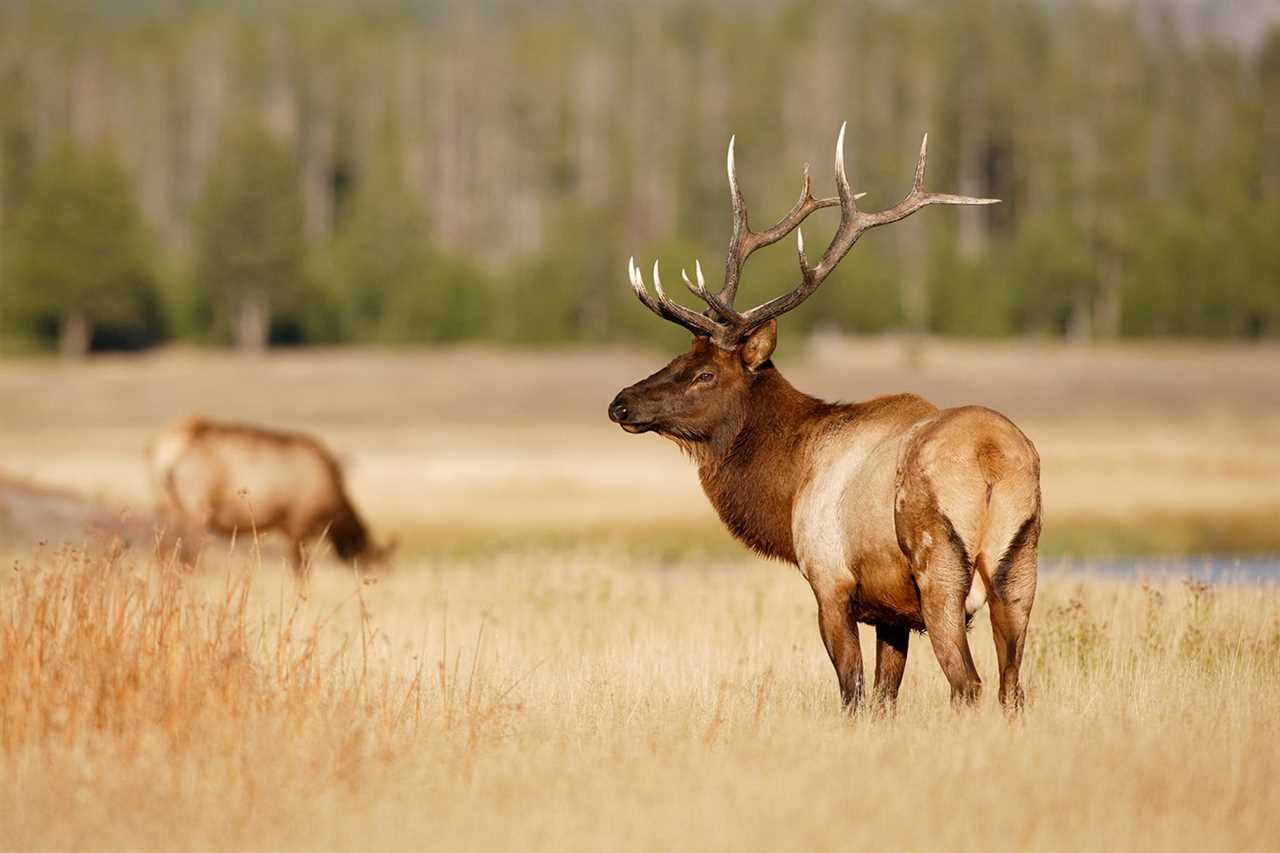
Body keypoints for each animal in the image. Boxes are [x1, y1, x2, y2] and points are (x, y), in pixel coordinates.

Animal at [147, 414, 394, 573]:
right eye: (371, 561)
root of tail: (165, 453)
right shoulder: (297, 524)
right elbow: (301, 571)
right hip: (196, 508)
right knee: (189, 556)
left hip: (165, 506)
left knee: (163, 553)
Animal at [609, 124, 1039, 712]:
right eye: (677, 358)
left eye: (703, 373)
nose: (620, 403)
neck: (791, 480)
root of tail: (992, 458)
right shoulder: (890, 612)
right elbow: (884, 698)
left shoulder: (830, 581)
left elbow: (853, 691)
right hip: (1020, 567)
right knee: (1012, 689)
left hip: (940, 568)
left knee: (968, 685)